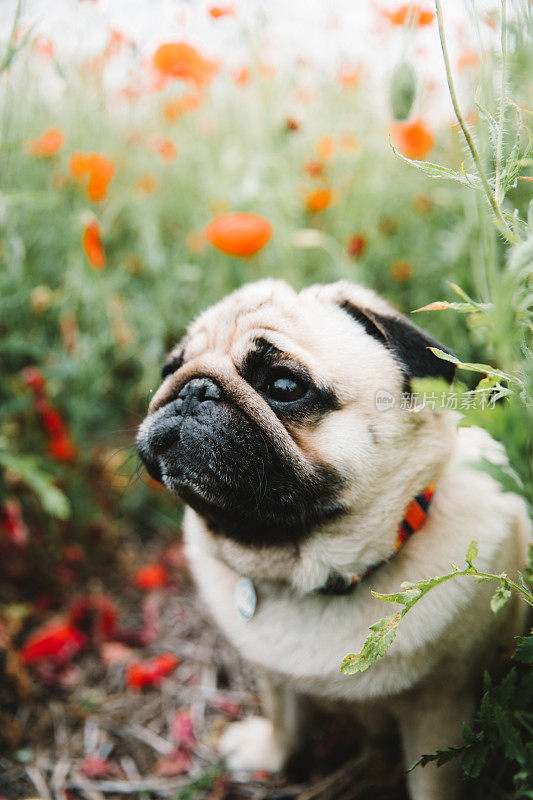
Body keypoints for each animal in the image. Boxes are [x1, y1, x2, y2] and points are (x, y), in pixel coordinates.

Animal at [136, 280, 528, 800]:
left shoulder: (442, 708)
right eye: (170, 369)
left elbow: (435, 781)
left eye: (284, 386)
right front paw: (269, 753)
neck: (311, 570)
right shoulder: (275, 675)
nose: (192, 389)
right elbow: (283, 717)